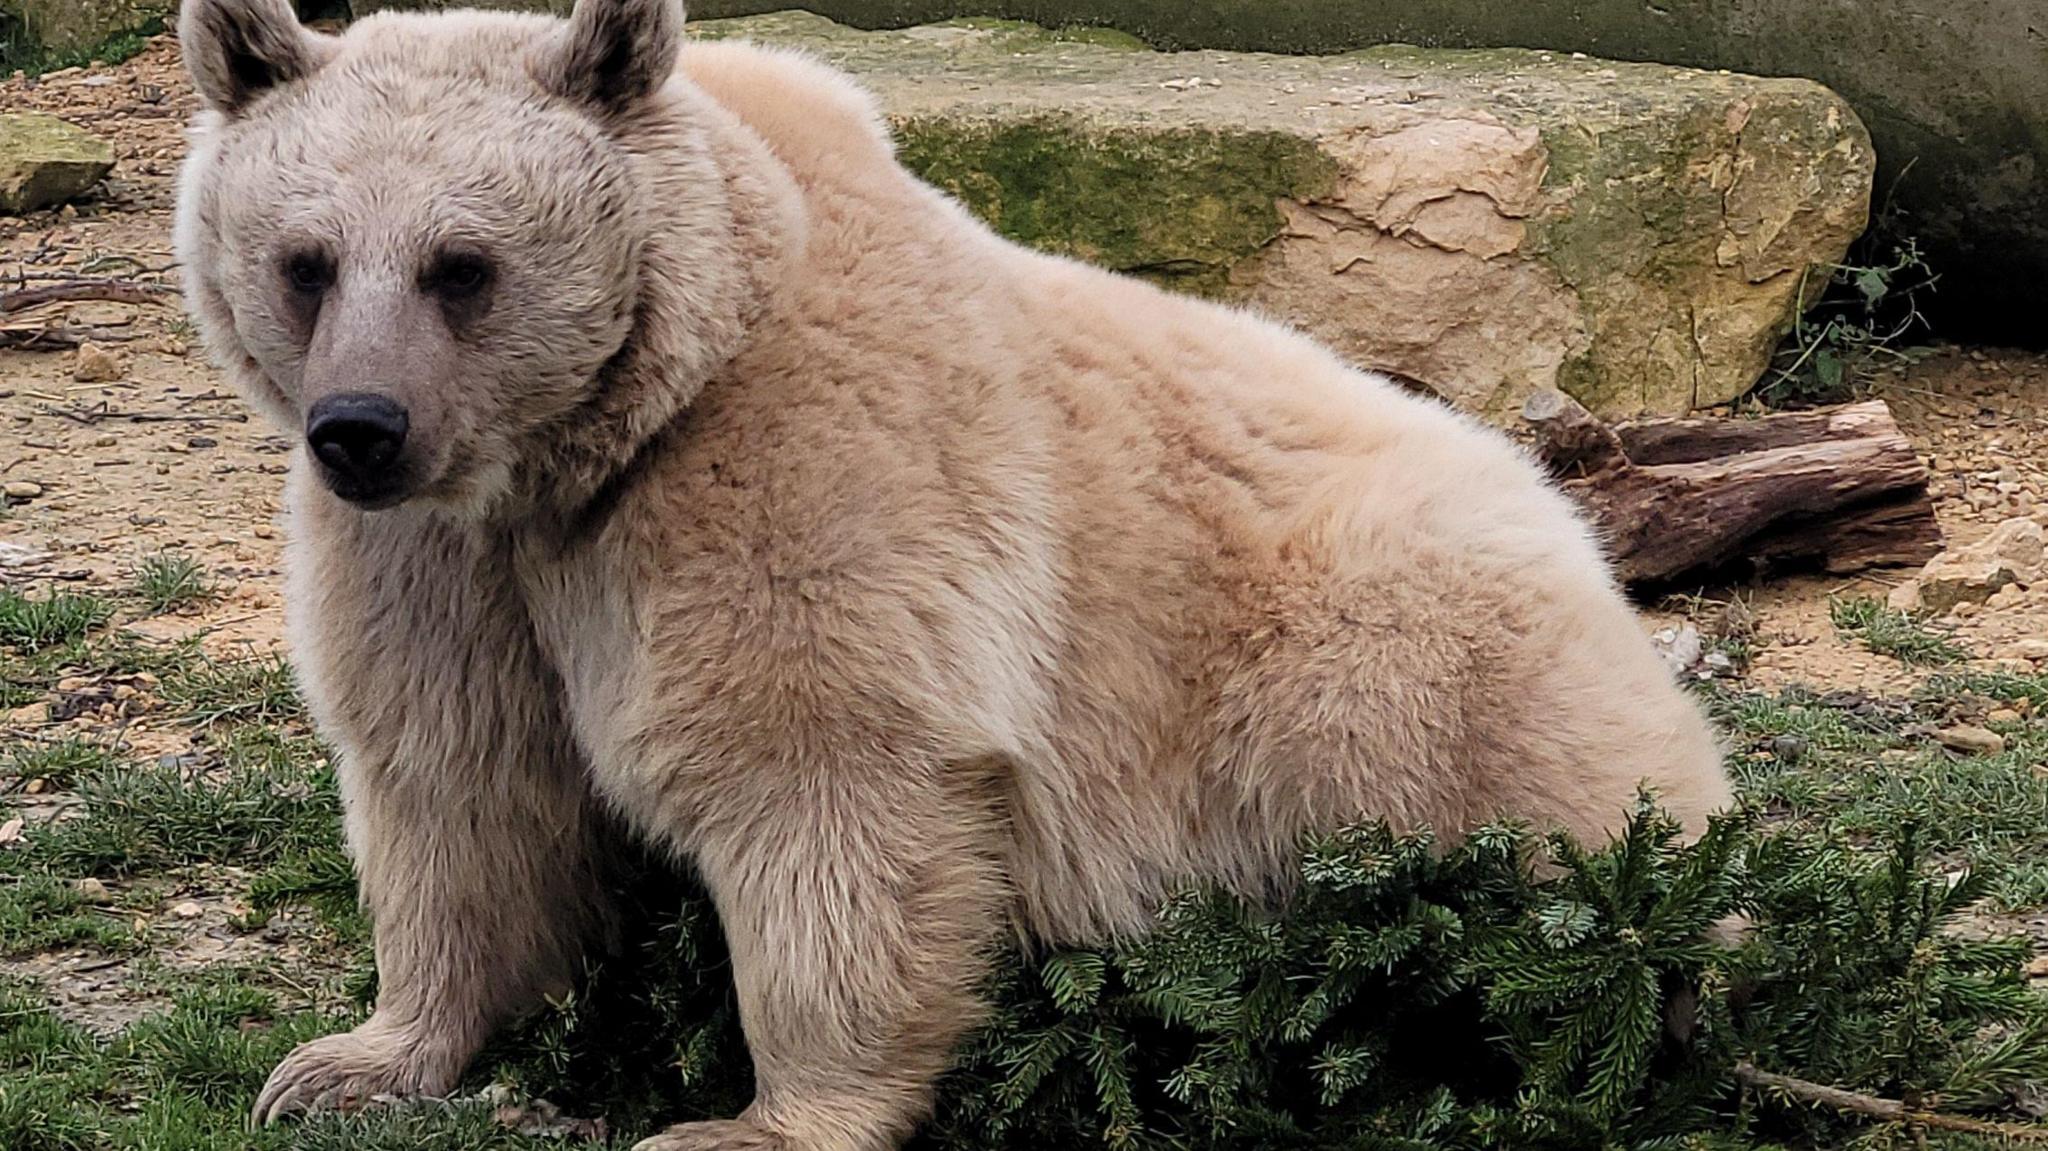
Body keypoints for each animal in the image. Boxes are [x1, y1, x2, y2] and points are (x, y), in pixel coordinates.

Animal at [176, 0, 1736, 1138]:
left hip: (1378, 642)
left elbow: (821, 774)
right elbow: (455, 775)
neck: (585, 449)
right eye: (307, 260)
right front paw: (349, 1057)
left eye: (462, 264)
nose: (359, 427)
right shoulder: (445, 559)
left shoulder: (798, 463)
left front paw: (751, 1116)